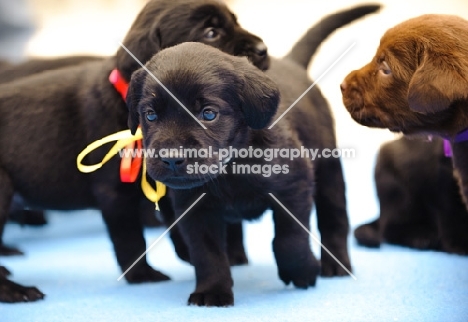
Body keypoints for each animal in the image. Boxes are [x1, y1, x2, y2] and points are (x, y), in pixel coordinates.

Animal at [0, 0, 266, 302]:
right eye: (211, 33)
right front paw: (142, 275)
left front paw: (192, 254)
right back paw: (14, 290)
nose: (262, 50)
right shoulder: (115, 193)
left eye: (235, 21)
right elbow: (131, 239)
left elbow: (178, 222)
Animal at [127, 5, 380, 306]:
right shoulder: (195, 209)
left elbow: (289, 239)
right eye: (150, 115)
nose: (172, 158)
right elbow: (207, 254)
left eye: (208, 114)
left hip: (329, 173)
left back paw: (335, 265)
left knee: (335, 219)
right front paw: (212, 291)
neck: (231, 168)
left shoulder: (295, 186)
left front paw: (303, 271)